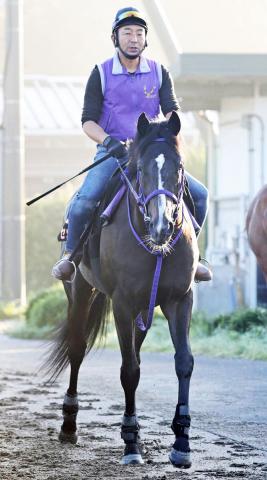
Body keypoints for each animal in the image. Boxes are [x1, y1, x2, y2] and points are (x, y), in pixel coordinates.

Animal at [46, 110, 200, 466]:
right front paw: (131, 444)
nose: (162, 226)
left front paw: (181, 443)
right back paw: (69, 425)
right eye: (141, 169)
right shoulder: (123, 304)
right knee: (77, 349)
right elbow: (129, 370)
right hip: (80, 291)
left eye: (179, 167)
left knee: (136, 353)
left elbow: (183, 362)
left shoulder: (180, 300)